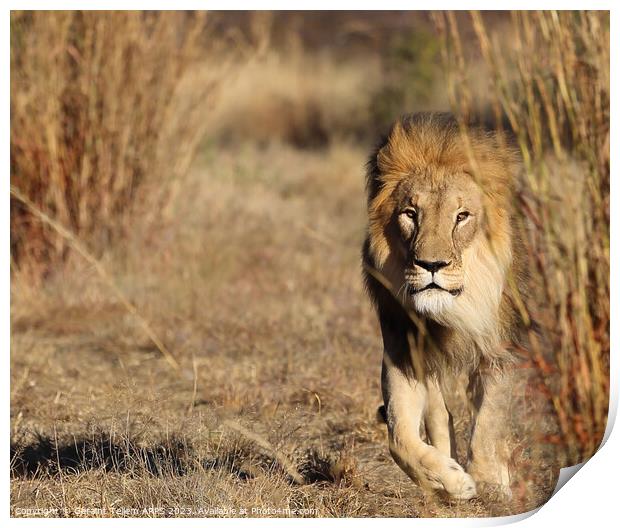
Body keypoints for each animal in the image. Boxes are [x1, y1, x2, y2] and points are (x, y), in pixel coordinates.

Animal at [364, 111, 524, 500]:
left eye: (462, 216)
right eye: (410, 213)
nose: (431, 265)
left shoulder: (501, 347)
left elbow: (489, 419)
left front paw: (488, 482)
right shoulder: (402, 349)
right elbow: (398, 436)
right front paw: (451, 481)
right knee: (439, 413)